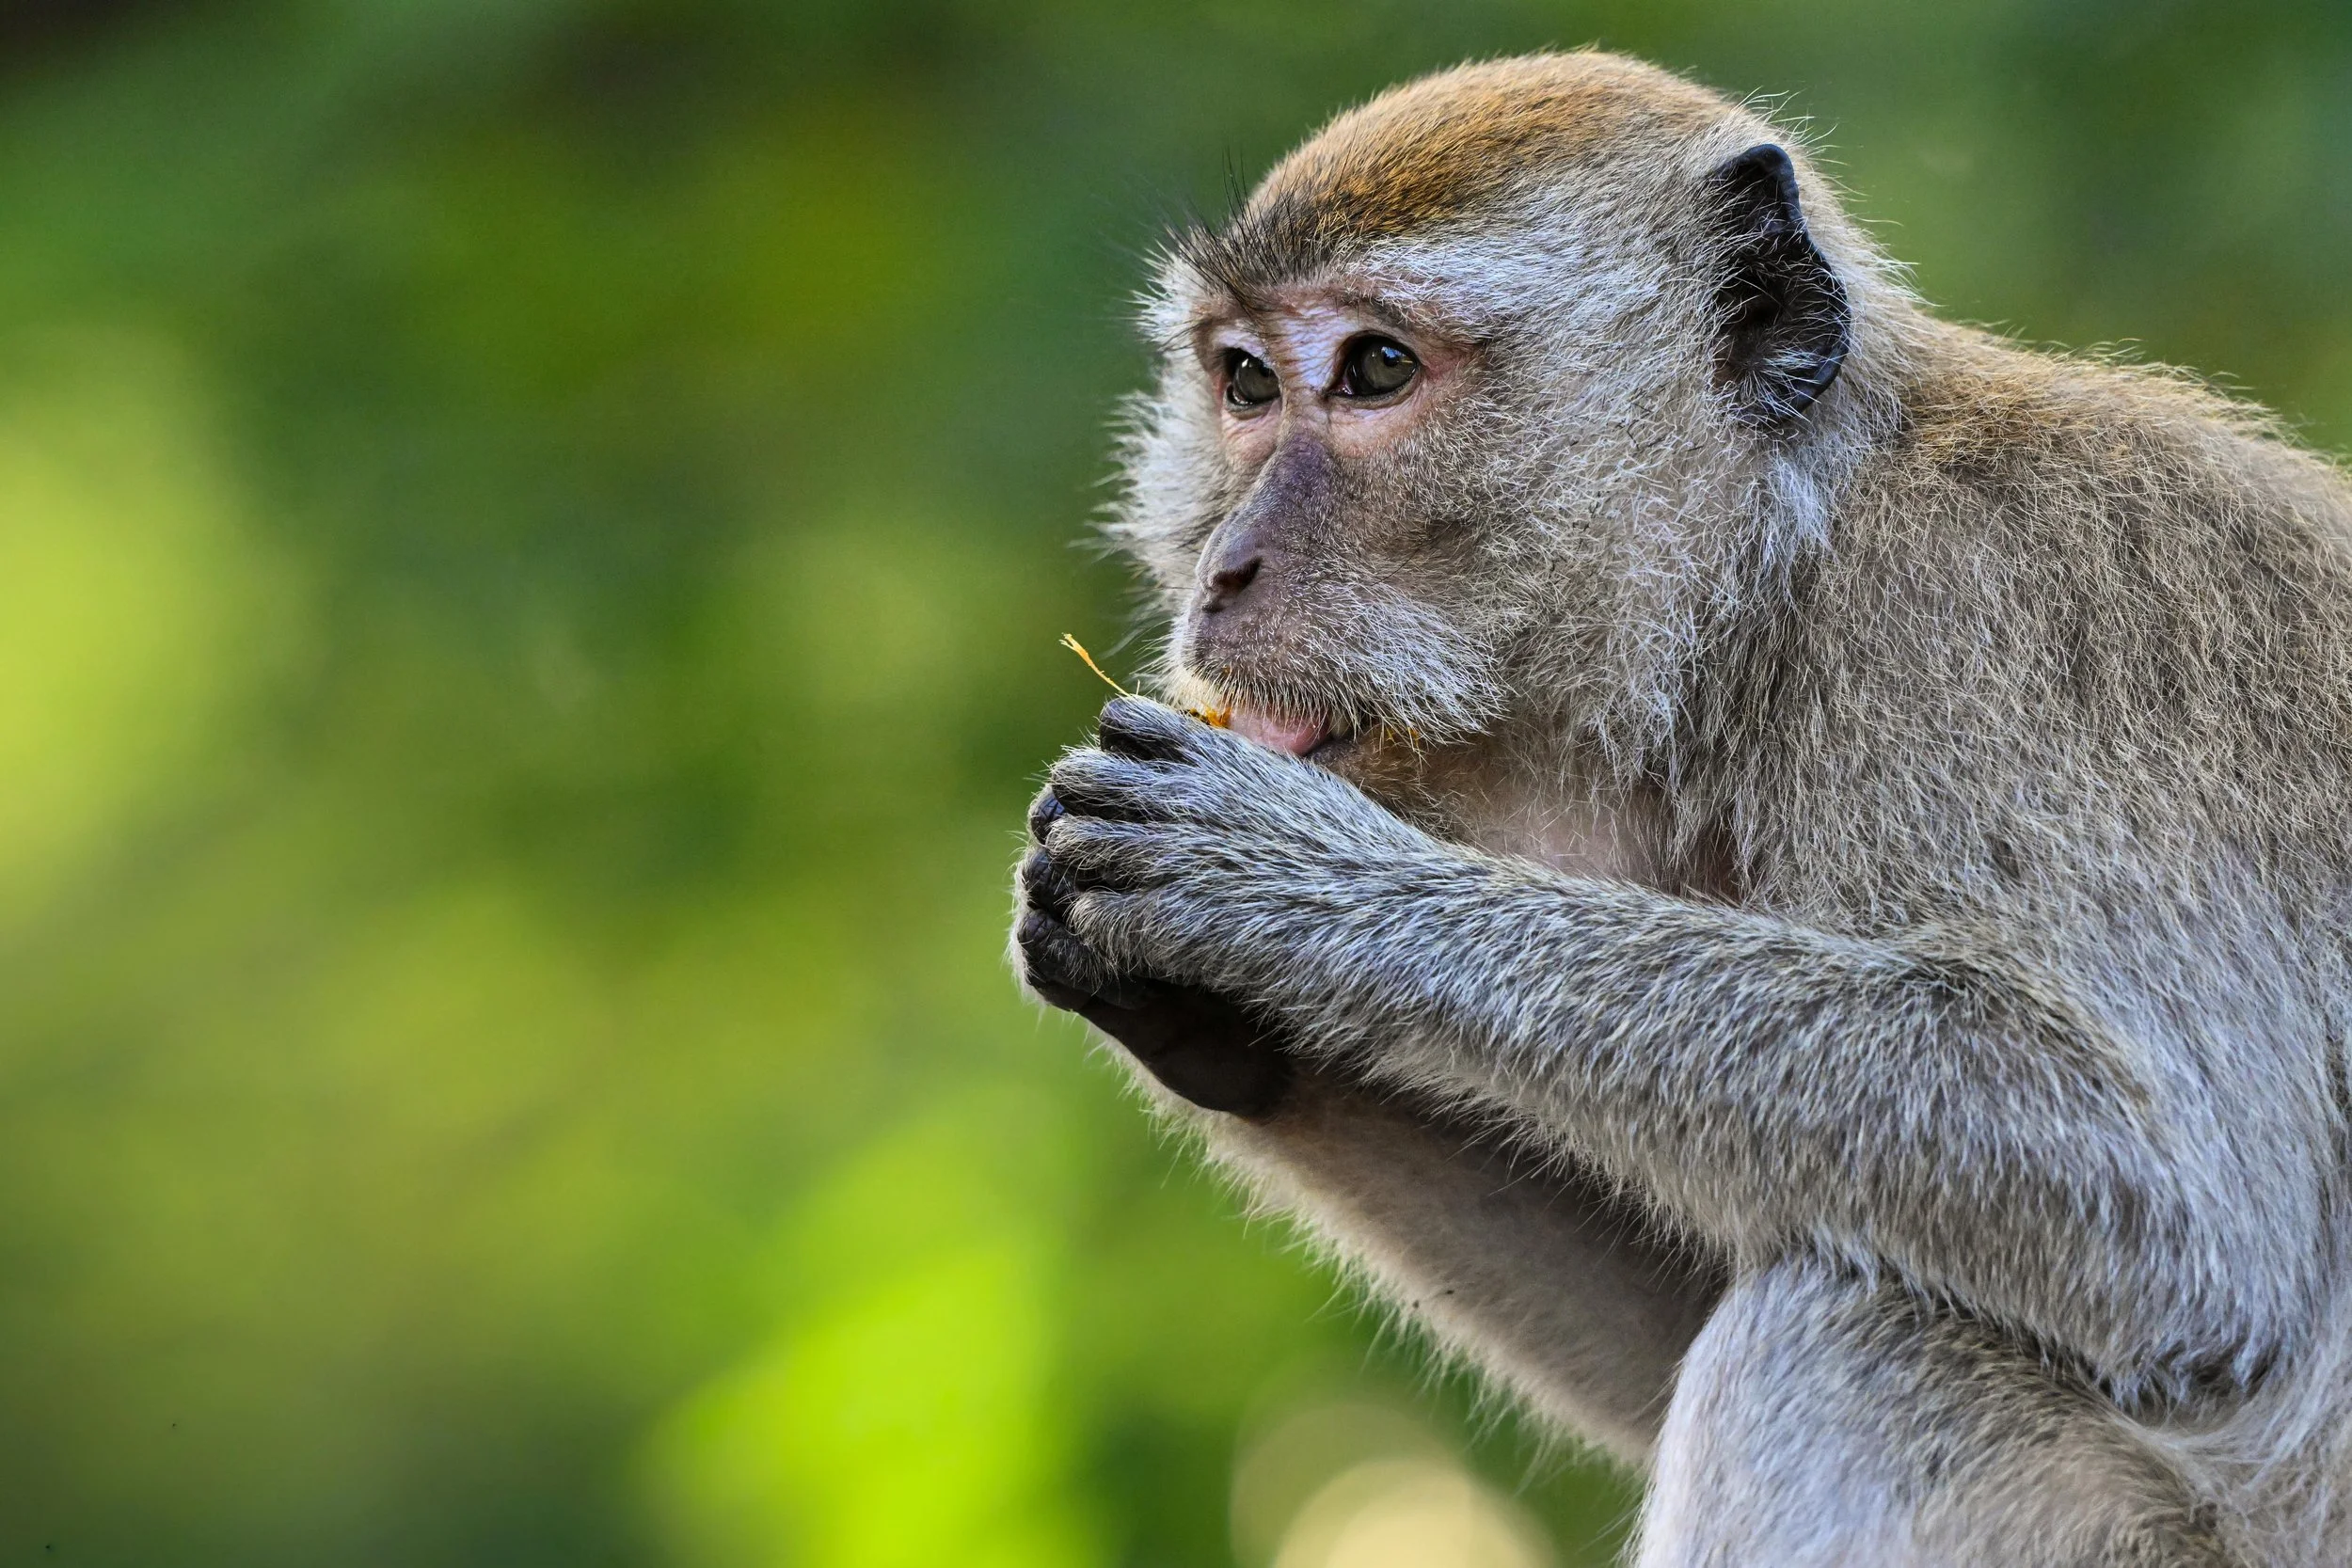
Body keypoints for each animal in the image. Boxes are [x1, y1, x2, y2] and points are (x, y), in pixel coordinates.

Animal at [1010, 50, 2352, 1566]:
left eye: (1375, 369)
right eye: (1241, 382)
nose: (1224, 568)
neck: (1782, 567)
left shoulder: (2004, 621)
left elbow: (2178, 1208)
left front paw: (1284, 886)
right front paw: (1187, 1004)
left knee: (1858, 1341)